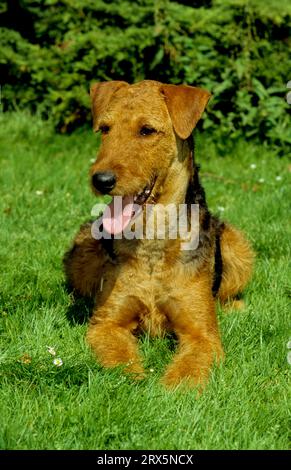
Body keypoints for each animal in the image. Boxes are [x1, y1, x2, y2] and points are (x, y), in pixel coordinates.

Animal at [63, 81, 253, 390]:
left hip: (236, 246)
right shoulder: (107, 323)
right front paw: (133, 380)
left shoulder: (202, 333)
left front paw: (171, 391)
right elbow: (119, 356)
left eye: (147, 130)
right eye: (105, 129)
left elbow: (189, 369)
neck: (152, 241)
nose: (101, 180)